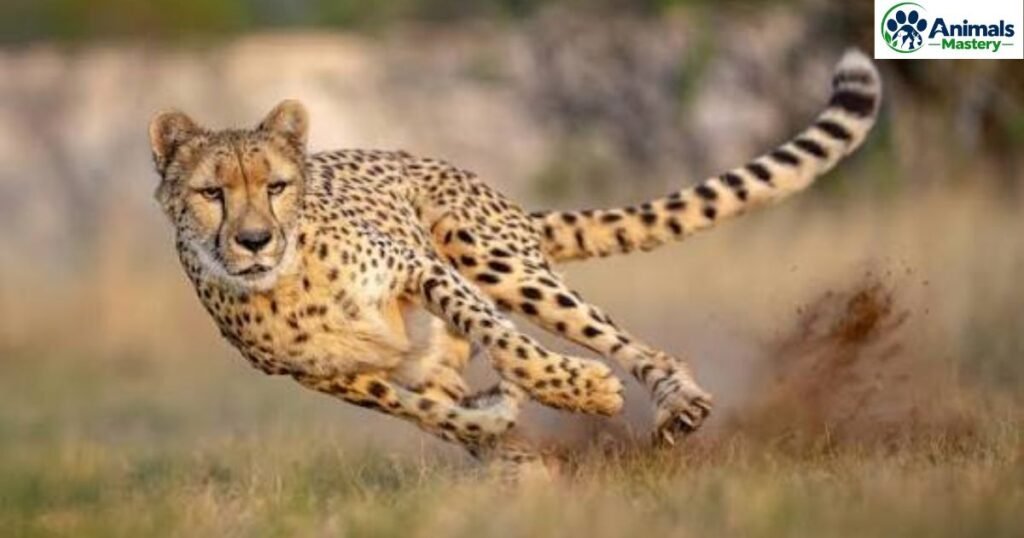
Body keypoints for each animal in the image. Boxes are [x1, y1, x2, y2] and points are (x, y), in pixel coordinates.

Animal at [149, 49, 881, 473]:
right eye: (212, 193)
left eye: (275, 185)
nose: (254, 241)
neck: (289, 281)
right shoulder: (332, 378)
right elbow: (432, 413)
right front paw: (499, 427)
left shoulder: (423, 270)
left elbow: (508, 343)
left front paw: (578, 390)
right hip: (438, 341)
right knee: (447, 392)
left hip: (490, 253)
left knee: (623, 341)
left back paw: (675, 401)